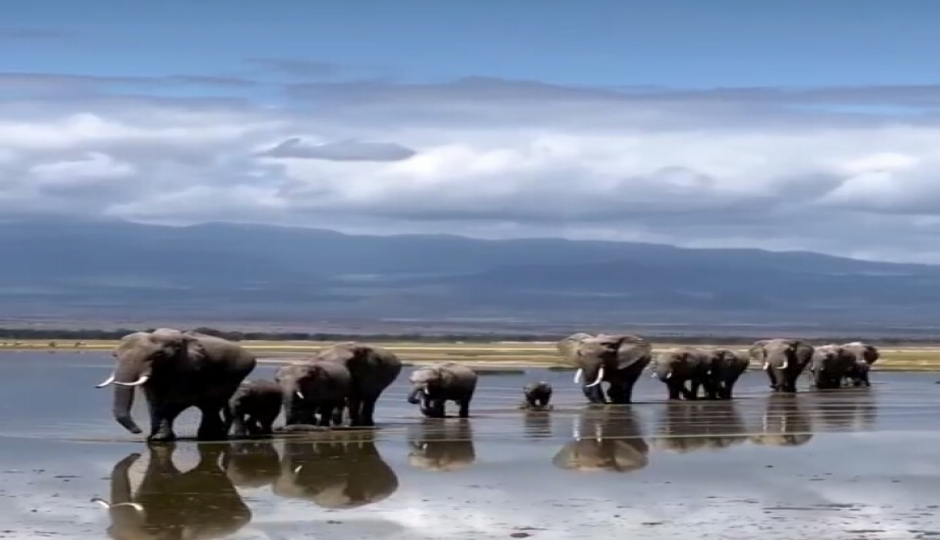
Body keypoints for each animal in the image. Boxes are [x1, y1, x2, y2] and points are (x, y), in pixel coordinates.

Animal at [95, 326, 258, 440]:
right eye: (114, 355)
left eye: (158, 355)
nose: (138, 431)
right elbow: (153, 401)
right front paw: (153, 438)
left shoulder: (190, 367)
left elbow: (177, 401)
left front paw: (159, 438)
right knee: (208, 406)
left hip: (234, 375)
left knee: (211, 404)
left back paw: (210, 437)